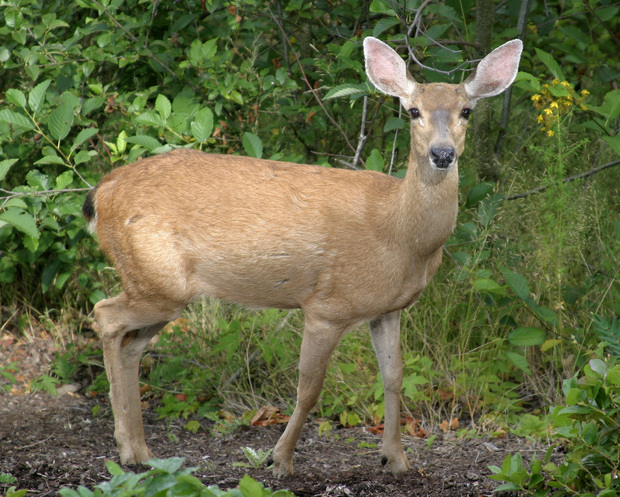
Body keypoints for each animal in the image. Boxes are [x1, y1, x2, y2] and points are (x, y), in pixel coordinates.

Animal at [81, 35, 520, 476]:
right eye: (413, 111)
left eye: (466, 111)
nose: (442, 154)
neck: (401, 235)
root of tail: (100, 194)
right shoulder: (327, 306)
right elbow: (309, 388)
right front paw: (280, 458)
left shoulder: (388, 309)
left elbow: (393, 376)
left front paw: (395, 458)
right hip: (156, 277)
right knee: (105, 315)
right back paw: (127, 447)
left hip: (161, 288)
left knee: (130, 343)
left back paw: (142, 450)